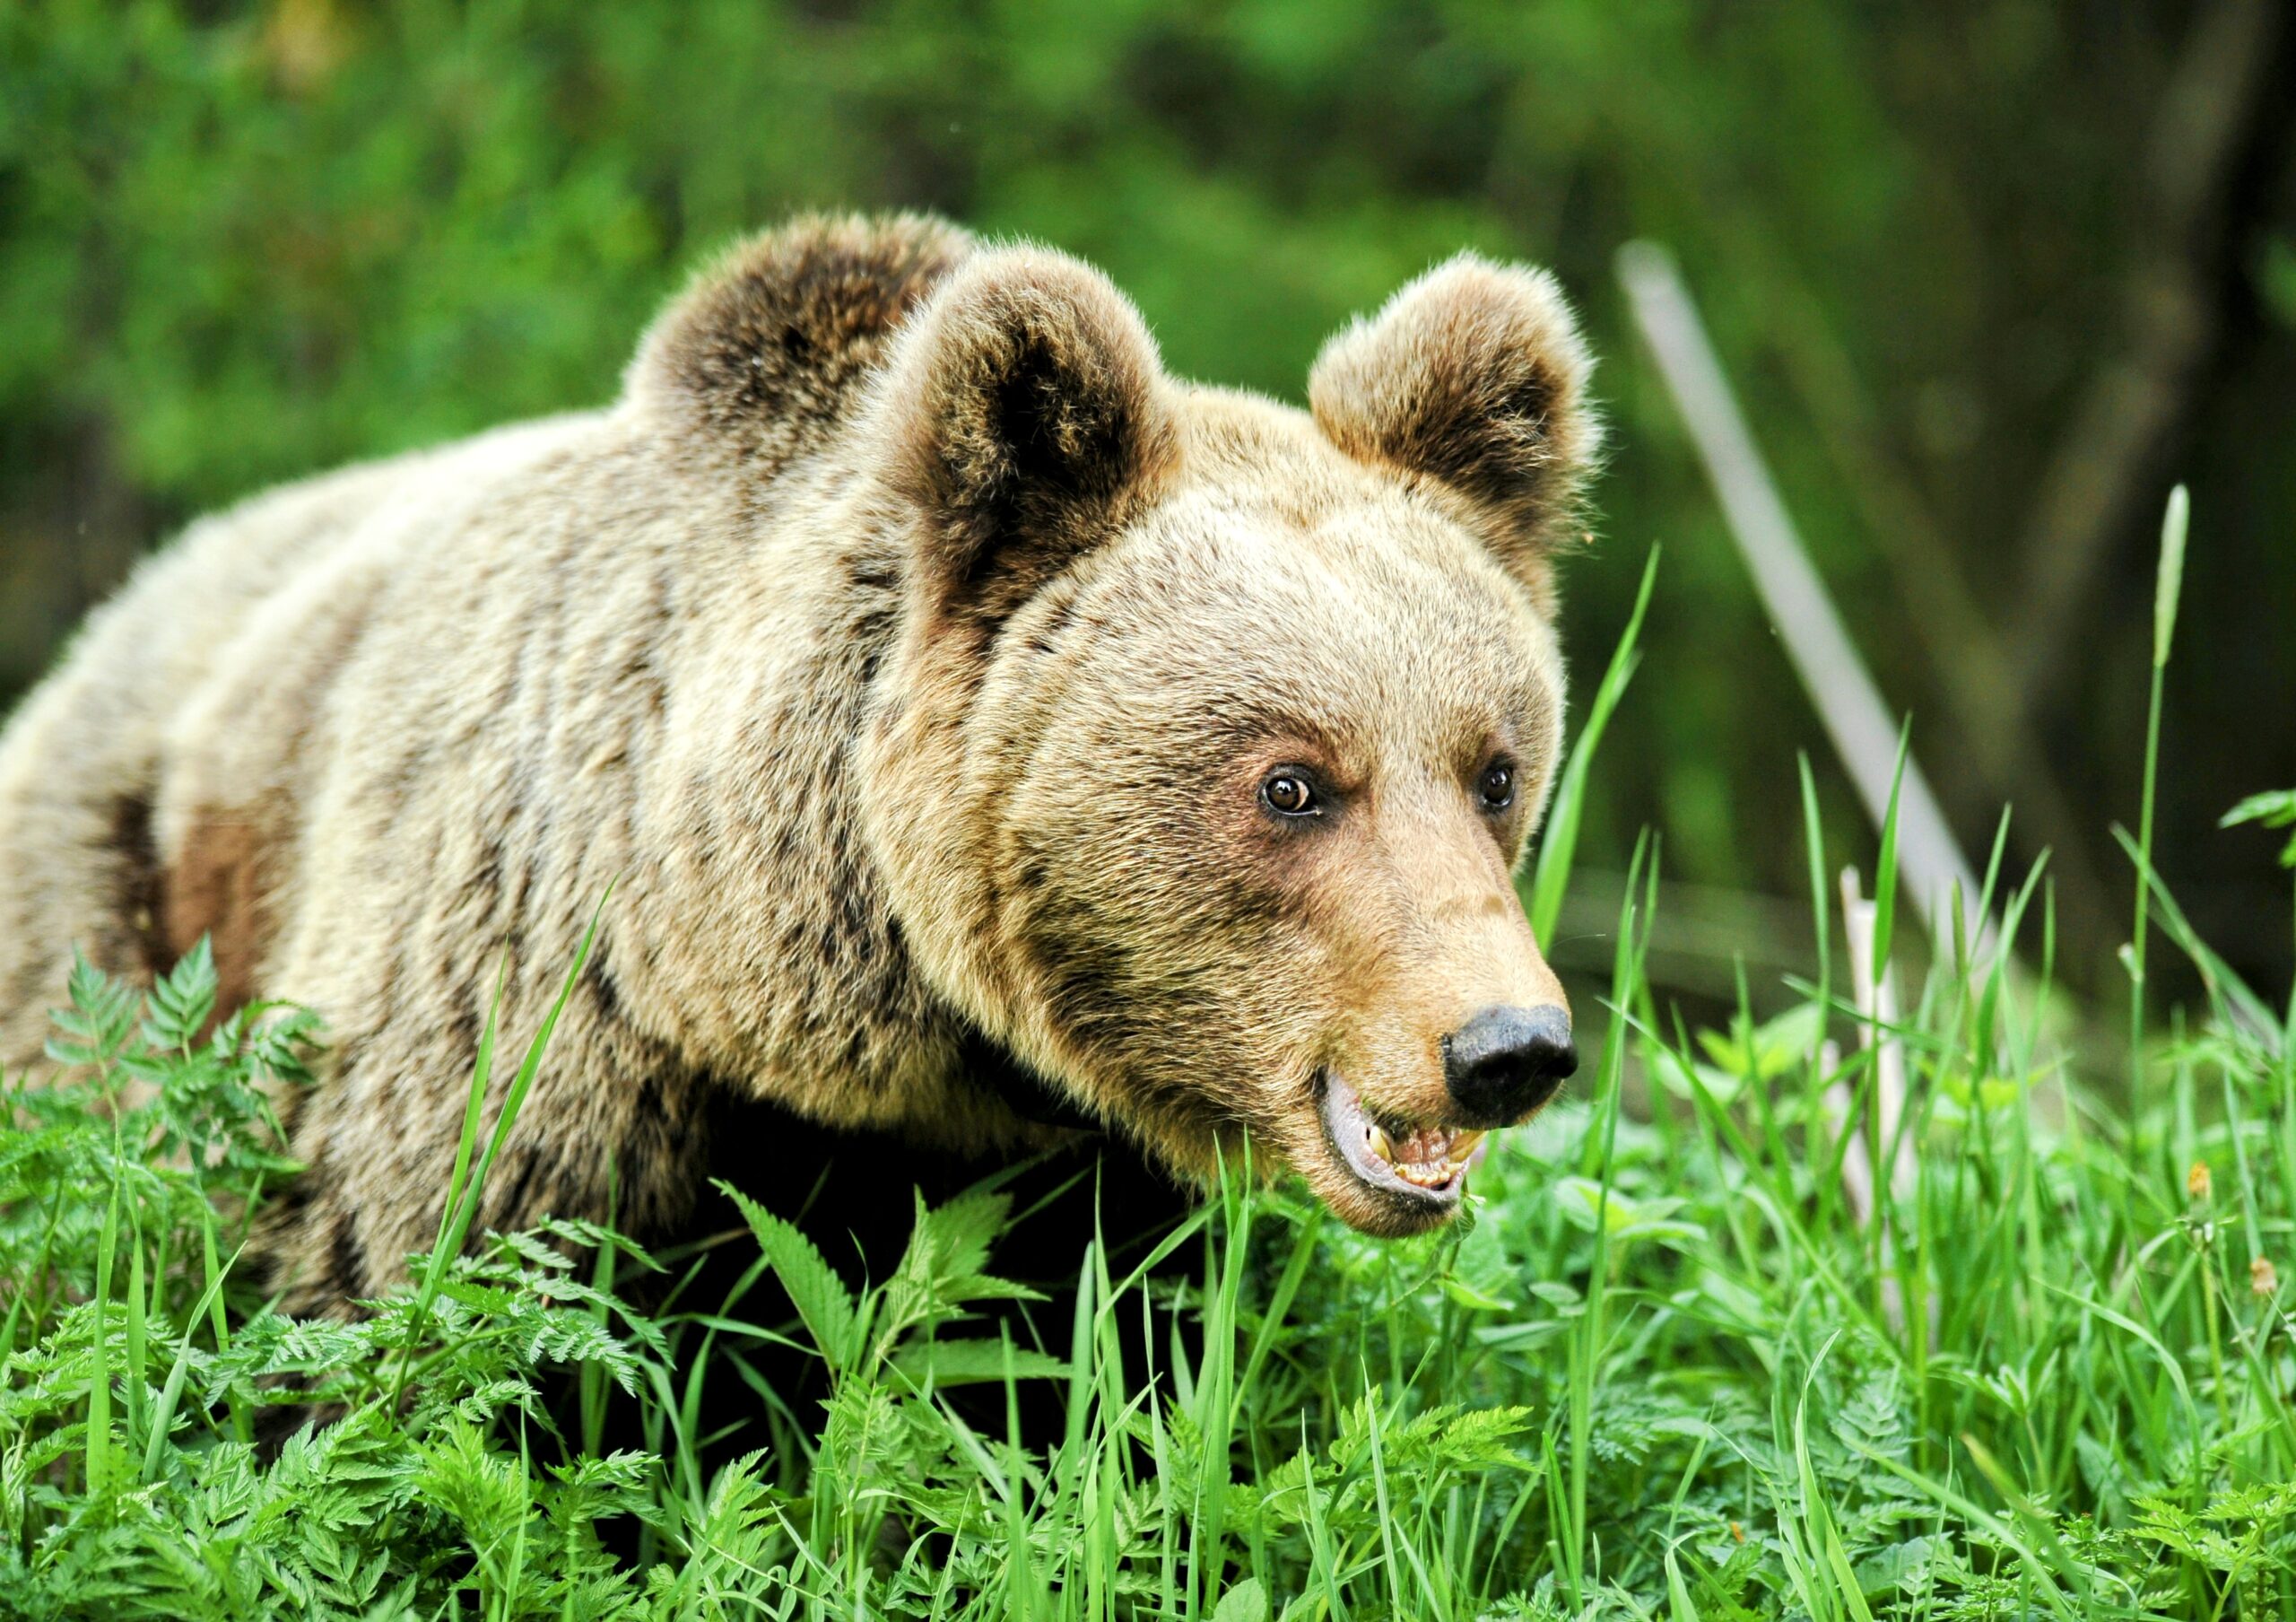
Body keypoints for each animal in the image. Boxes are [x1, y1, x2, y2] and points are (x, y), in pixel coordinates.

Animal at [0, 213, 1599, 1315]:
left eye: (1493, 769)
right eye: (1292, 782)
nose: (1506, 1046)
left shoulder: (1069, 1187)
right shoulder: (524, 1036)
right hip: (110, 933)